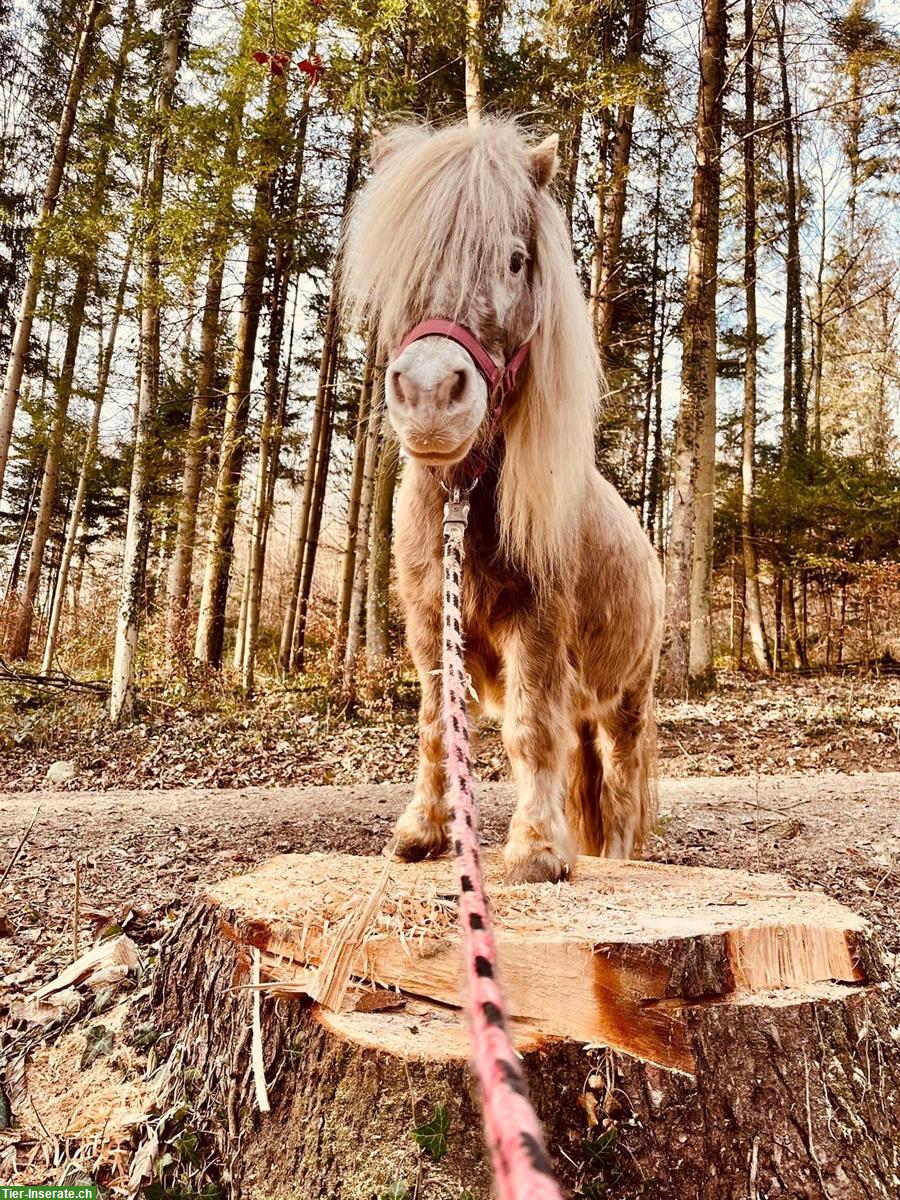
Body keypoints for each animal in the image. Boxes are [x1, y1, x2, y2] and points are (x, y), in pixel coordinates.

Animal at [340, 121, 667, 888]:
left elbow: (527, 728)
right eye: (401, 263)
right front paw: (423, 831)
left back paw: (620, 854)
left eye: (516, 261)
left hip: (628, 698)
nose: (431, 395)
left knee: (621, 778)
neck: (466, 500)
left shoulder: (537, 626)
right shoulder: (429, 624)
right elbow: (437, 724)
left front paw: (537, 849)